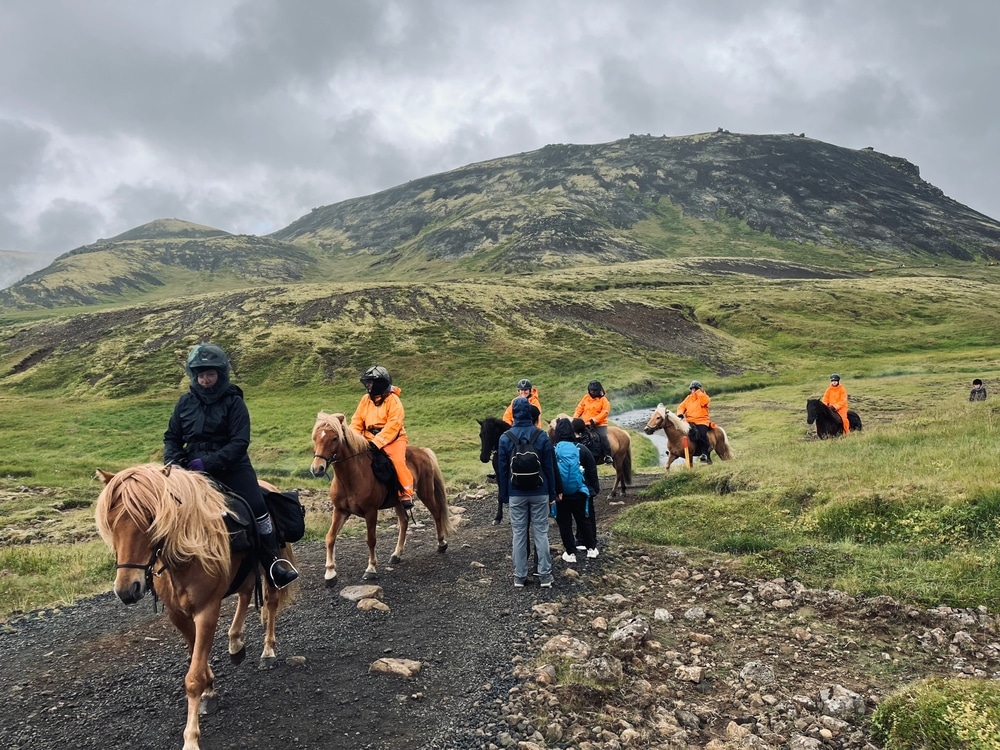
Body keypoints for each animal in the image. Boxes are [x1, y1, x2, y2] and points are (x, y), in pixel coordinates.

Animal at [93, 464, 296, 750]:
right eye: (110, 522)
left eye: (152, 519)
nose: (126, 590)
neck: (186, 555)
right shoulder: (178, 615)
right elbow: (197, 659)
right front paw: (210, 688)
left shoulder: (207, 611)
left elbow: (193, 677)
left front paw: (191, 738)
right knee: (245, 594)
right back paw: (235, 642)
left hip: (271, 570)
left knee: (272, 602)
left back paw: (267, 652)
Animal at [308, 414, 454, 584]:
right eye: (315, 438)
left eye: (334, 438)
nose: (317, 469)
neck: (351, 477)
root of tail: (423, 451)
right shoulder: (340, 511)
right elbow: (330, 537)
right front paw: (330, 573)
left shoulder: (371, 512)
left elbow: (371, 539)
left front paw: (371, 569)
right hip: (398, 501)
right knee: (404, 521)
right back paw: (396, 554)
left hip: (426, 493)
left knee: (436, 512)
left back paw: (441, 544)